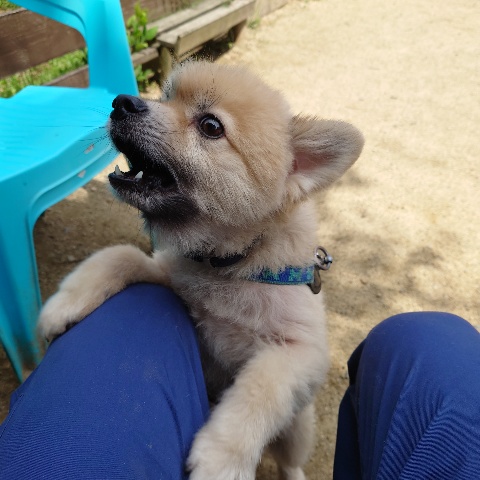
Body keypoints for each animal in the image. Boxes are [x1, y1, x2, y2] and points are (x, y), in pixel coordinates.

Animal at [39, 61, 364, 480]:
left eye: (211, 126)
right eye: (166, 97)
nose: (123, 103)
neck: (228, 265)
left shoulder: (300, 353)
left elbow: (261, 390)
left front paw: (221, 459)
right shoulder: (165, 273)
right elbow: (119, 256)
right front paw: (63, 307)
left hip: (298, 427)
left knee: (291, 460)